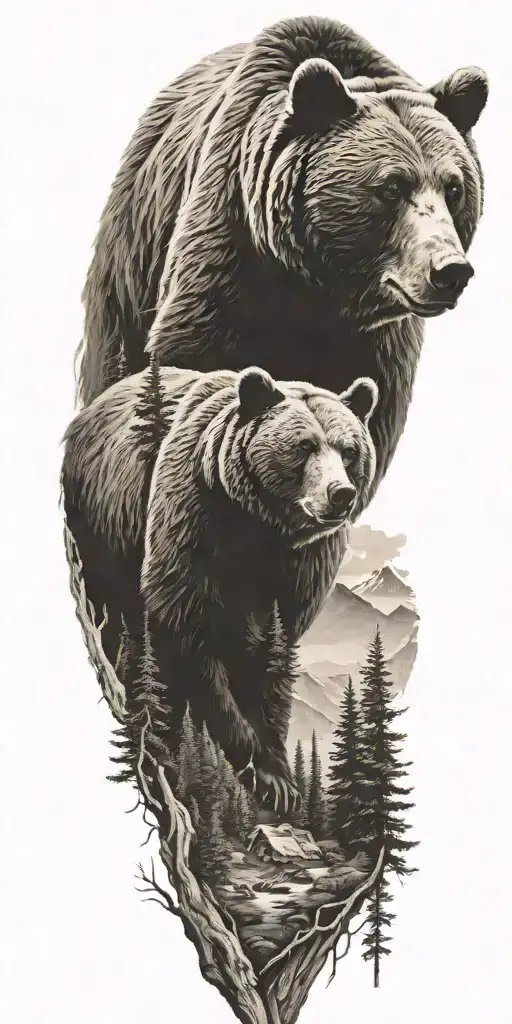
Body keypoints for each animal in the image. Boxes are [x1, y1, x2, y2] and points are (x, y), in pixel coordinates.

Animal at [62, 364, 378, 810]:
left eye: (349, 450)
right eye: (304, 446)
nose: (341, 494)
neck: (262, 528)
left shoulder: (301, 568)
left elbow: (276, 650)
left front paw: (280, 773)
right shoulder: (193, 519)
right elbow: (187, 629)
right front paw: (261, 768)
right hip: (103, 519)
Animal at [78, 15, 488, 504]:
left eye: (454, 187)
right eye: (391, 186)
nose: (450, 271)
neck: (318, 286)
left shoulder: (376, 341)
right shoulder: (225, 251)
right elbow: (194, 362)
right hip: (133, 254)